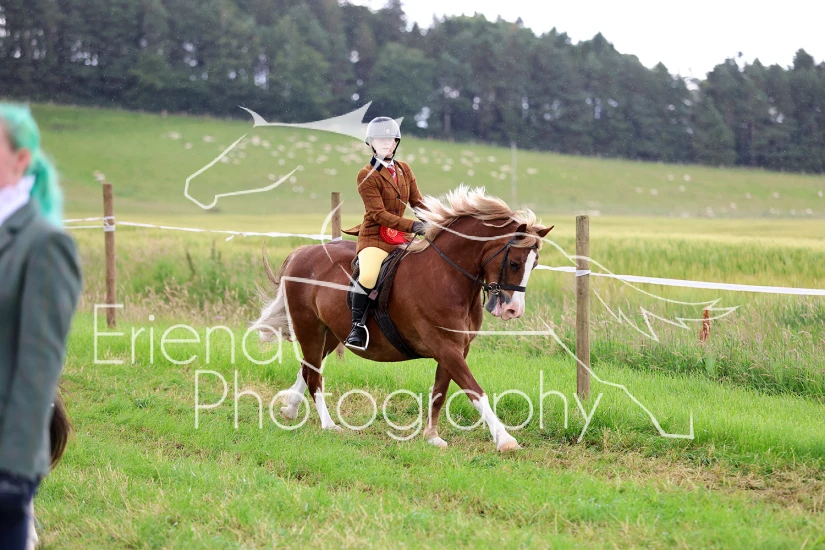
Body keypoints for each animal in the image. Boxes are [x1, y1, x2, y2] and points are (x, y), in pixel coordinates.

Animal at [254, 186, 552, 452]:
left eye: (535, 264)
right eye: (514, 263)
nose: (513, 311)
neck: (447, 276)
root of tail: (301, 253)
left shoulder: (456, 348)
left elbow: (440, 391)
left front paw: (432, 437)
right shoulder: (445, 346)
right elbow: (475, 391)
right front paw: (505, 440)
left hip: (331, 333)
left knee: (307, 368)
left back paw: (291, 409)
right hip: (310, 328)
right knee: (314, 375)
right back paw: (329, 425)